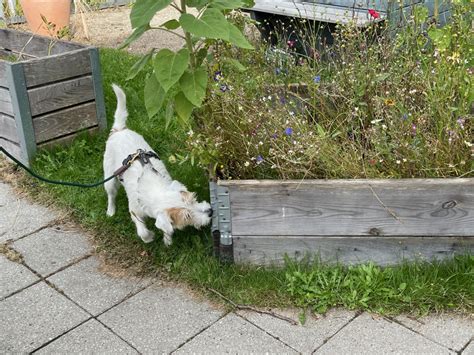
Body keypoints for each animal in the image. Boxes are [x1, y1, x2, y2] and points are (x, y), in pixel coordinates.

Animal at [103, 85, 211, 246]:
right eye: (186, 216)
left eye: (193, 199)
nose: (210, 212)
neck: (153, 188)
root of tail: (119, 130)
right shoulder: (135, 211)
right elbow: (142, 230)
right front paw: (149, 237)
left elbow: (166, 229)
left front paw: (167, 238)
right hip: (109, 177)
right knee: (111, 194)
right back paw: (110, 211)